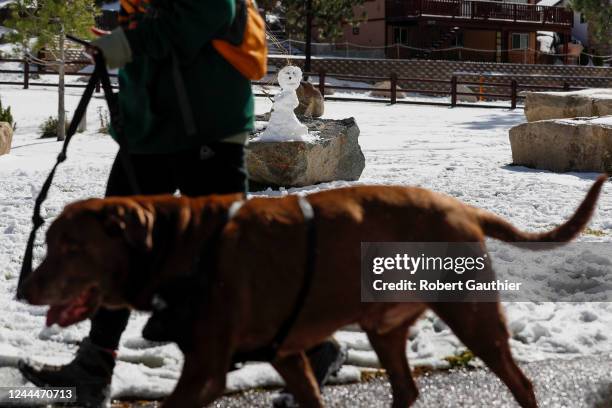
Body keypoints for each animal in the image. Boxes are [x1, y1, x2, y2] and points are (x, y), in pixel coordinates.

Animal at [20, 178, 608, 408]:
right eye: (49, 241)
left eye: (71, 246)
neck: (178, 241)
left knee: (522, 383)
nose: (25, 285)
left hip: (472, 315)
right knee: (407, 388)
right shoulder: (287, 356)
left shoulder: (206, 370)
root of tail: (462, 209)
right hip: (386, 326)